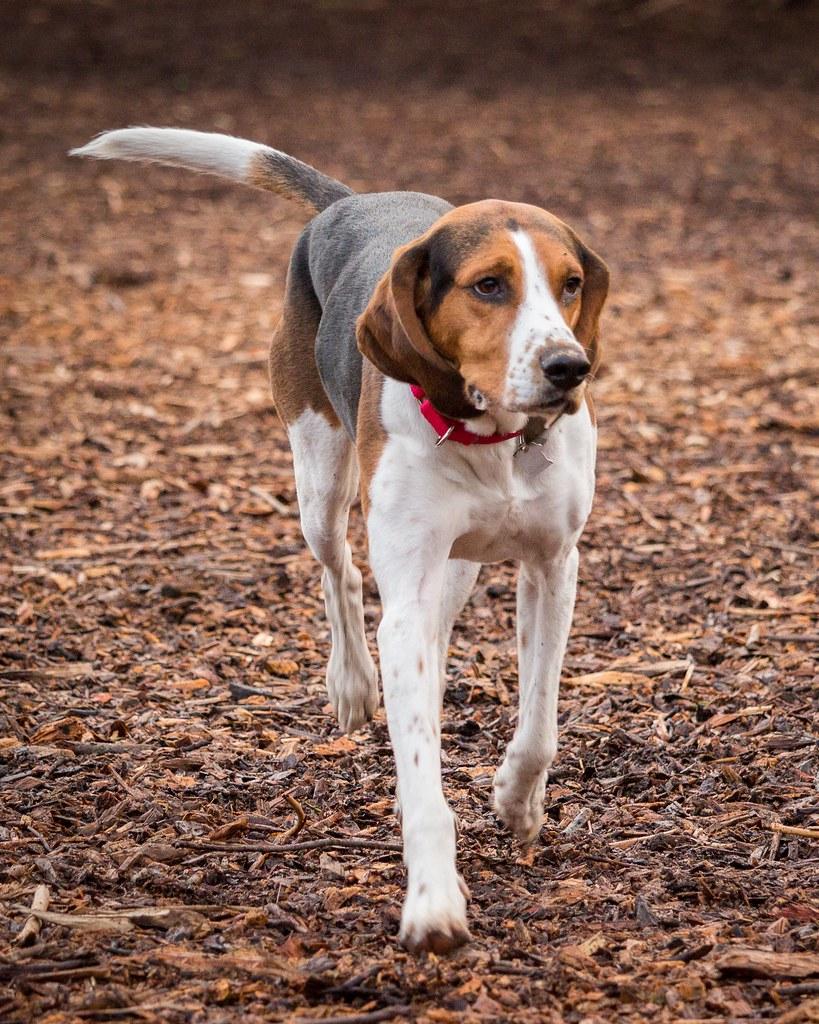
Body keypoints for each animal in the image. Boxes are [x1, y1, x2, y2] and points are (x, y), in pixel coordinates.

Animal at [72, 128, 606, 950]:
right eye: (489, 286)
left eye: (571, 283)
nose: (568, 367)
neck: (491, 440)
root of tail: (349, 202)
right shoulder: (408, 593)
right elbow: (420, 766)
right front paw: (433, 900)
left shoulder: (553, 569)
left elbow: (540, 722)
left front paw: (518, 802)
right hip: (320, 488)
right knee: (343, 576)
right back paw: (354, 683)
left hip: (448, 567)